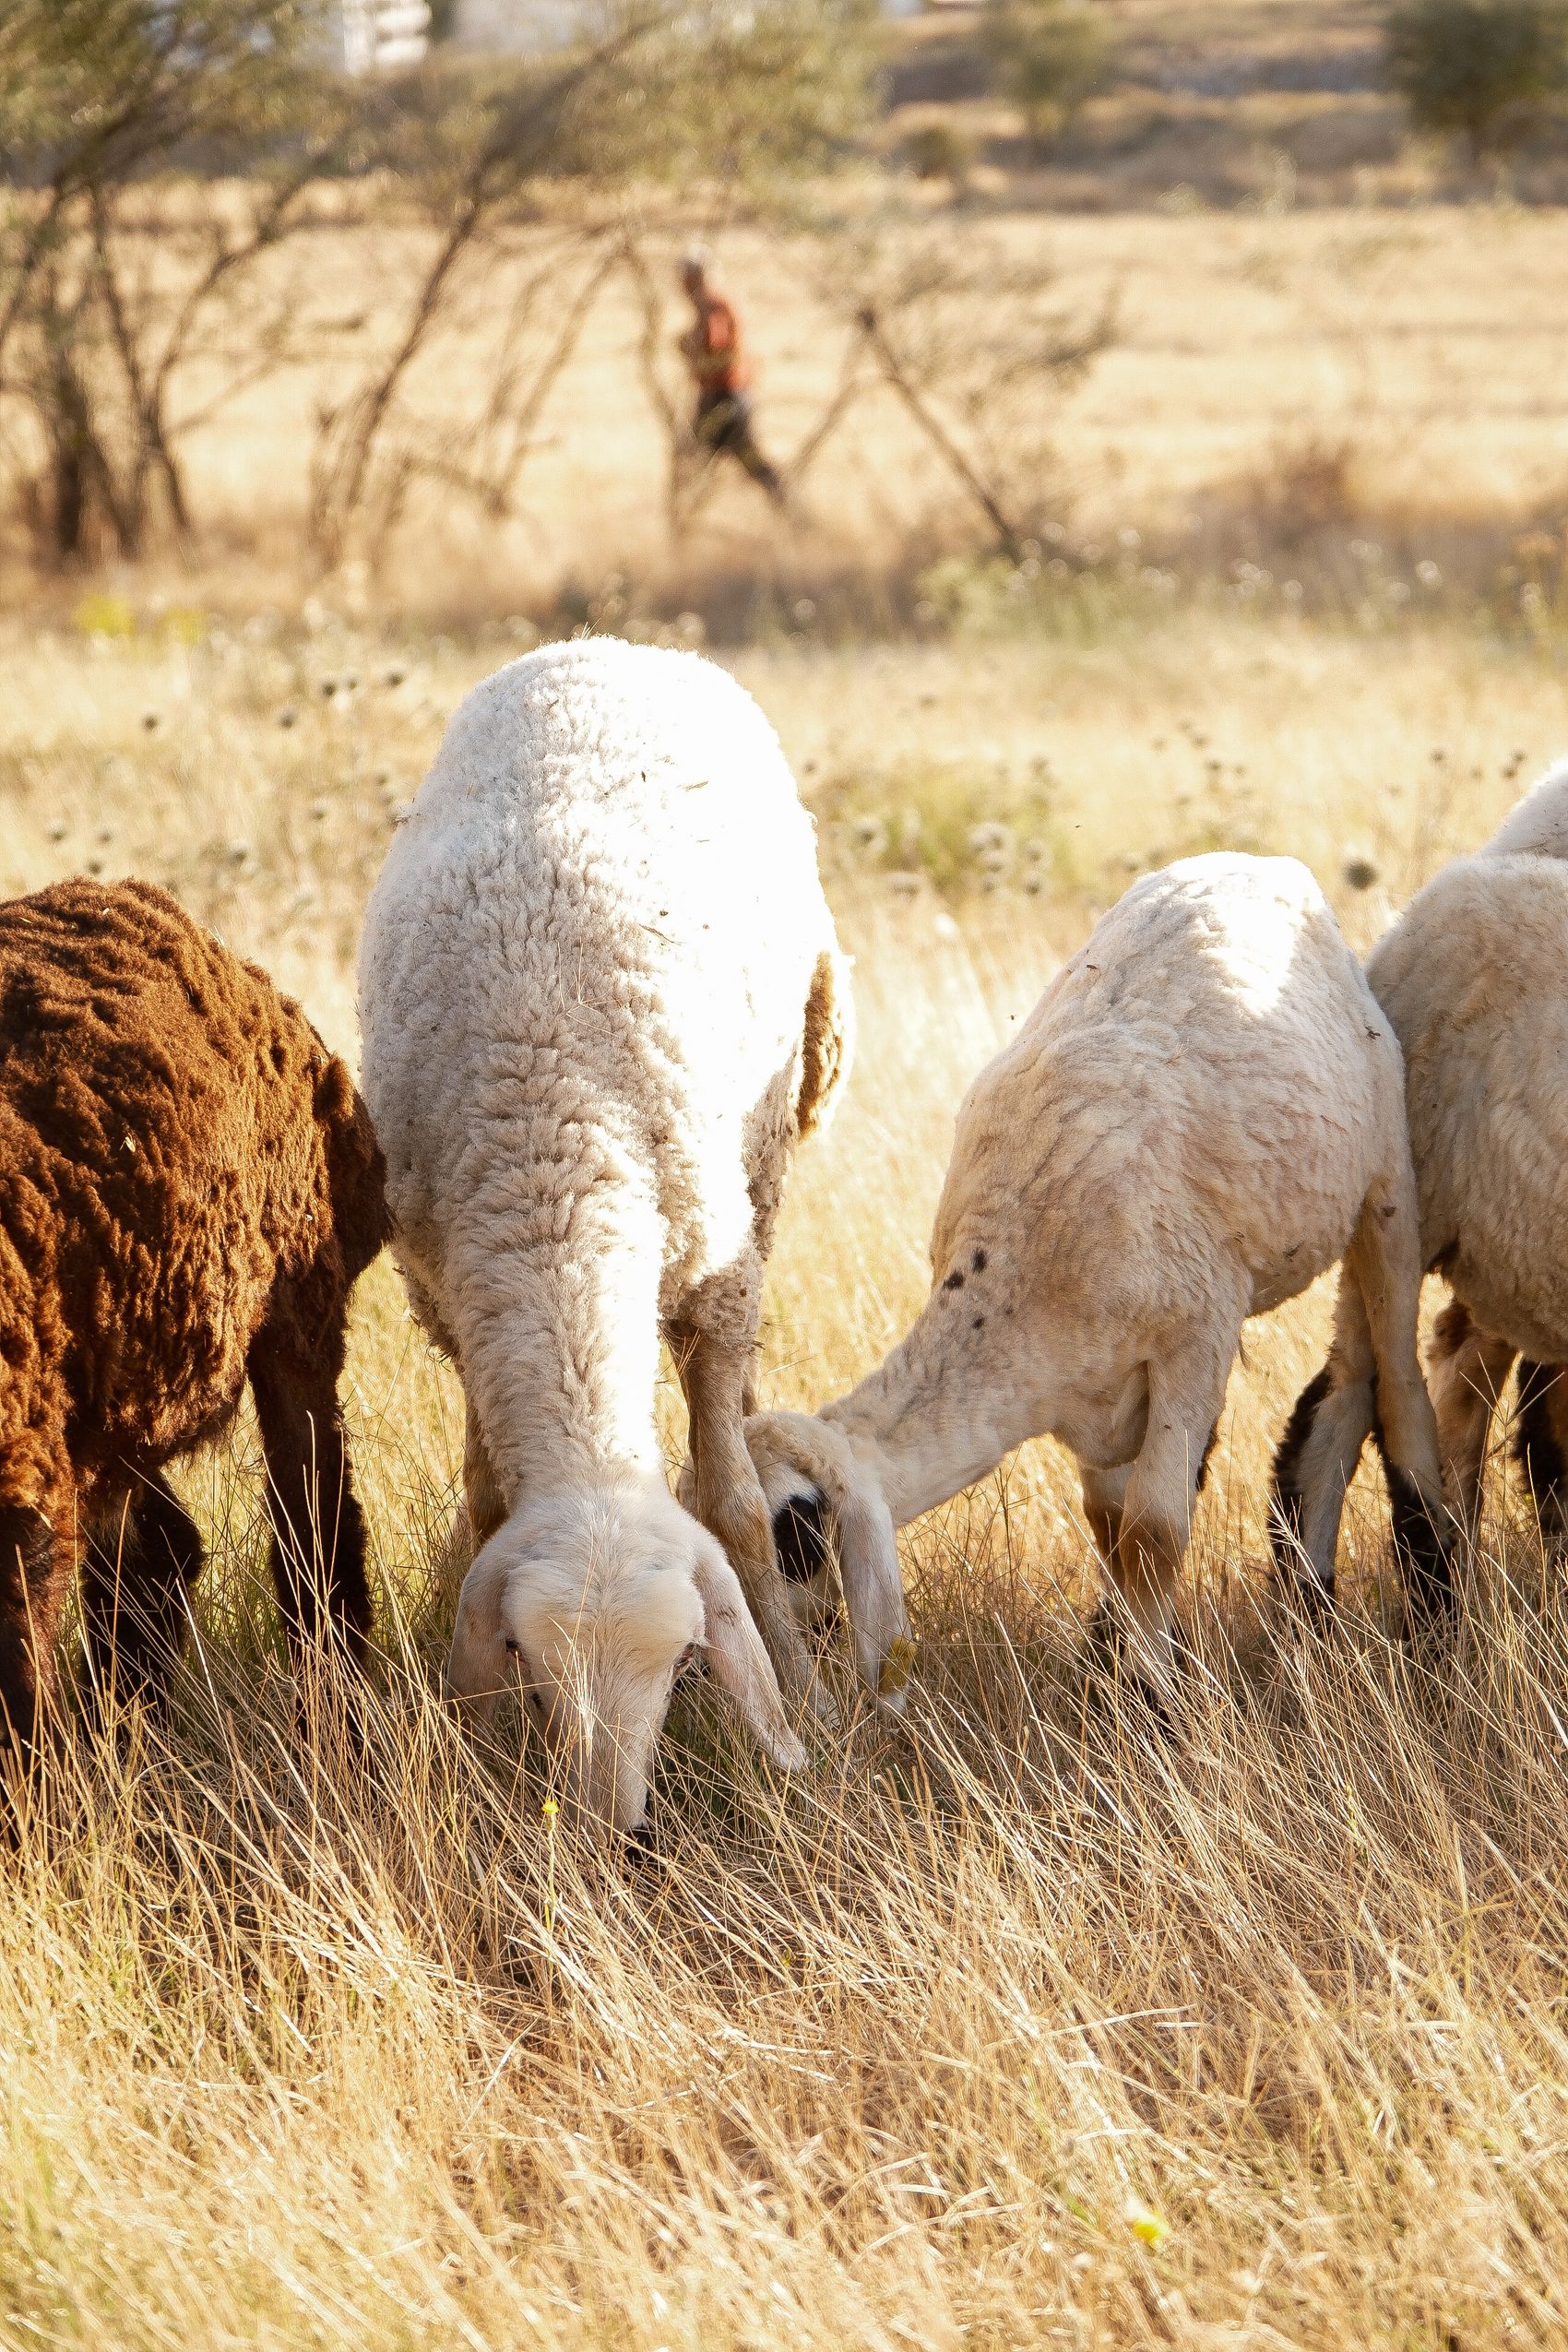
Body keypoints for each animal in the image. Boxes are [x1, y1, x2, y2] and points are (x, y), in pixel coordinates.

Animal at [0, 877, 389, 1771]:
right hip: (117, 1384)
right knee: (161, 1556)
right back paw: (131, 1733)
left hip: (298, 1312)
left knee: (315, 1529)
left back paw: (338, 1731)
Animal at [357, 638, 911, 1836]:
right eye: (526, 1665)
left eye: (688, 1665)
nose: (618, 1837)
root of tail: (602, 643)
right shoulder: (452, 1298)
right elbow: (486, 1497)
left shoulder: (717, 1279)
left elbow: (734, 1513)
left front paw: (800, 1698)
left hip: (765, 1157)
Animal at [728, 852, 1446, 1692]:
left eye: (793, 1537)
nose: (762, 1662)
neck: (1010, 1297)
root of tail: (1259, 862)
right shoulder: (1092, 1389)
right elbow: (1108, 1524)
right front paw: (1113, 1660)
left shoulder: (1196, 1337)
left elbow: (1154, 1530)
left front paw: (1152, 1693)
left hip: (1386, 1180)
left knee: (1399, 1375)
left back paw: (1436, 1578)